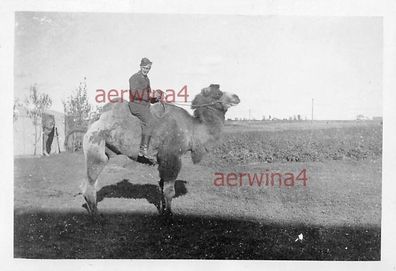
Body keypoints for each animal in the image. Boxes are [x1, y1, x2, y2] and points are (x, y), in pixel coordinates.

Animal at [82, 84, 240, 216]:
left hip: (105, 149)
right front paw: (169, 215)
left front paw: (163, 211)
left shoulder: (163, 160)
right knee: (89, 183)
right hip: (95, 146)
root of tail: (95, 121)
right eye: (218, 93)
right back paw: (96, 215)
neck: (193, 128)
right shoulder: (171, 157)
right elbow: (169, 190)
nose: (237, 97)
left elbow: (162, 186)